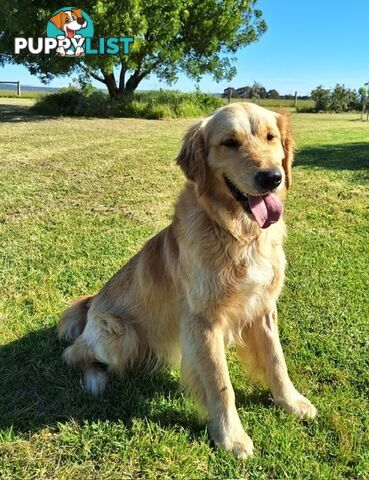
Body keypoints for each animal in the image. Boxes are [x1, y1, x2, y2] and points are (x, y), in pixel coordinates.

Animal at [58, 102, 316, 458]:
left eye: (270, 137)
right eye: (229, 143)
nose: (272, 178)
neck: (237, 233)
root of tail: (92, 302)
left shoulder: (264, 308)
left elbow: (277, 362)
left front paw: (291, 402)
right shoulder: (203, 321)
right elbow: (221, 385)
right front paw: (231, 437)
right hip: (120, 336)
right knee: (73, 353)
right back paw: (95, 378)